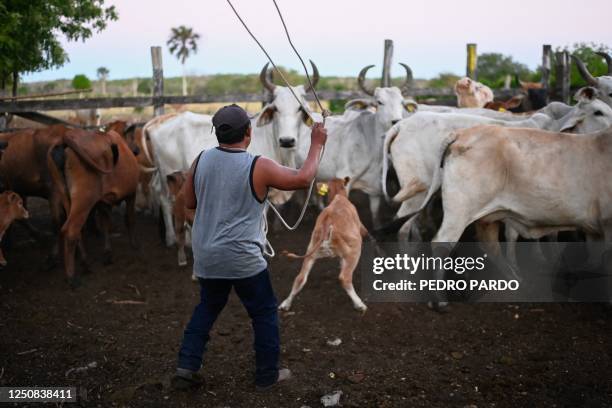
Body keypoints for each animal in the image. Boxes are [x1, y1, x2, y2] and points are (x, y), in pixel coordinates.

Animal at [141, 60, 318, 245]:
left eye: (300, 108)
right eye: (276, 108)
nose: (287, 140)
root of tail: (157, 122)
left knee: (160, 192)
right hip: (167, 173)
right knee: (166, 199)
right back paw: (171, 238)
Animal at [278, 178, 368, 312]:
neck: (338, 196)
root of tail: (328, 223)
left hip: (311, 251)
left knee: (300, 278)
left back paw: (286, 304)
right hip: (354, 250)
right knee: (344, 277)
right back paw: (359, 304)